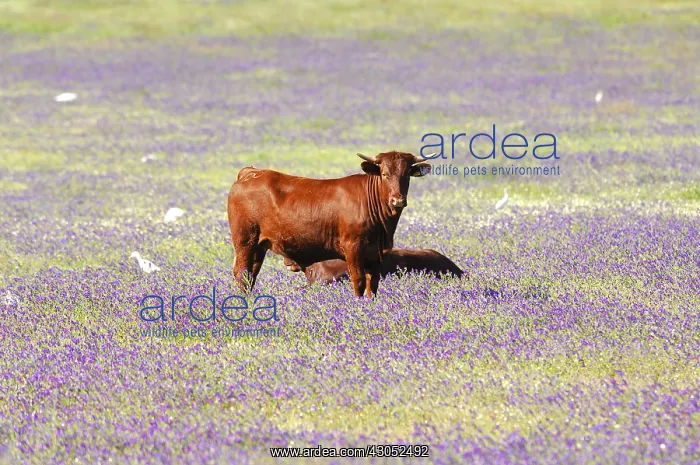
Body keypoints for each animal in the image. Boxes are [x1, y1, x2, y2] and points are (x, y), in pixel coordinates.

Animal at [227, 151, 433, 297]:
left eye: (406, 175)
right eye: (384, 174)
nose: (397, 200)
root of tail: (250, 172)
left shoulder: (375, 253)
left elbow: (372, 284)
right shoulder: (353, 247)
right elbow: (358, 280)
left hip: (259, 246)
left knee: (251, 275)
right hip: (245, 241)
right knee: (241, 273)